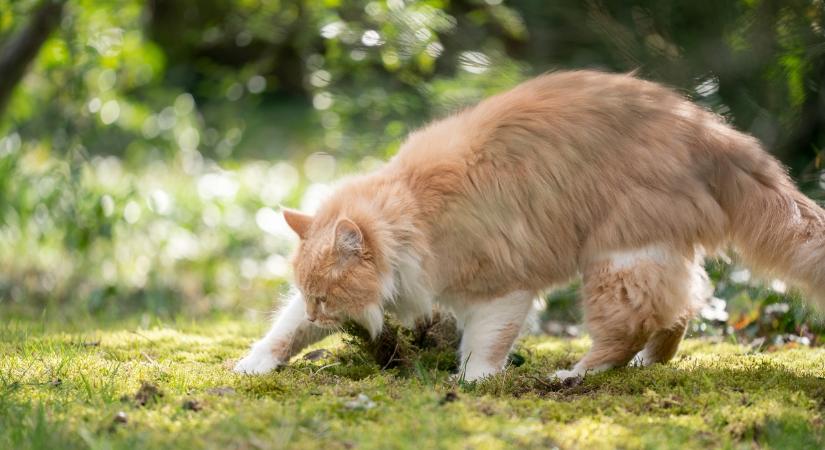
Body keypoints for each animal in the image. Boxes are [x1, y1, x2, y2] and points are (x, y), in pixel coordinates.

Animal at [232, 70, 824, 380]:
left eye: (326, 298)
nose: (317, 310)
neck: (413, 214)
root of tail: (709, 128)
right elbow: (283, 332)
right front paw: (254, 364)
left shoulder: (503, 289)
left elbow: (482, 348)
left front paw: (472, 385)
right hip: (650, 256)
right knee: (681, 310)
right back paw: (646, 366)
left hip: (616, 261)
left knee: (631, 326)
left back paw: (578, 374)